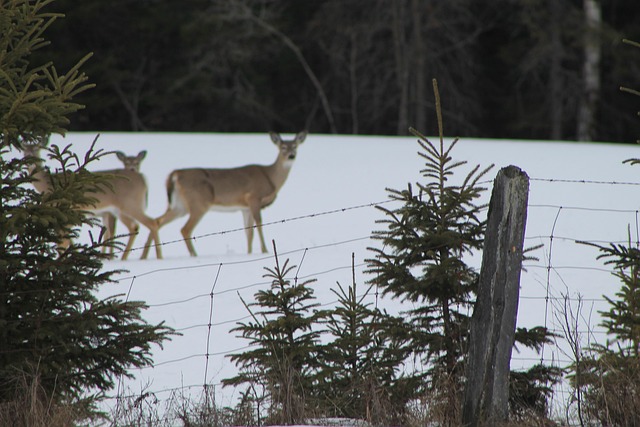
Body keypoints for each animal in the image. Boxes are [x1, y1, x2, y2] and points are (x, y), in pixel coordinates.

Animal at [20, 142, 162, 260]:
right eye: (24, 150)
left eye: (37, 149)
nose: (29, 160)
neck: (47, 184)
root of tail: (143, 179)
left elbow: (64, 241)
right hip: (120, 210)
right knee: (136, 226)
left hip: (129, 205)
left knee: (149, 223)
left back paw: (156, 257)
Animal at [147, 131, 307, 257]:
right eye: (283, 147)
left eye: (296, 146)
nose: (291, 156)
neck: (270, 177)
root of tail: (175, 174)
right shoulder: (254, 197)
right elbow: (259, 224)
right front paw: (265, 251)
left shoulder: (245, 207)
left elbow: (248, 231)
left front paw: (249, 253)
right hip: (199, 203)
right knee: (184, 229)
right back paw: (194, 255)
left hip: (179, 205)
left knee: (156, 222)